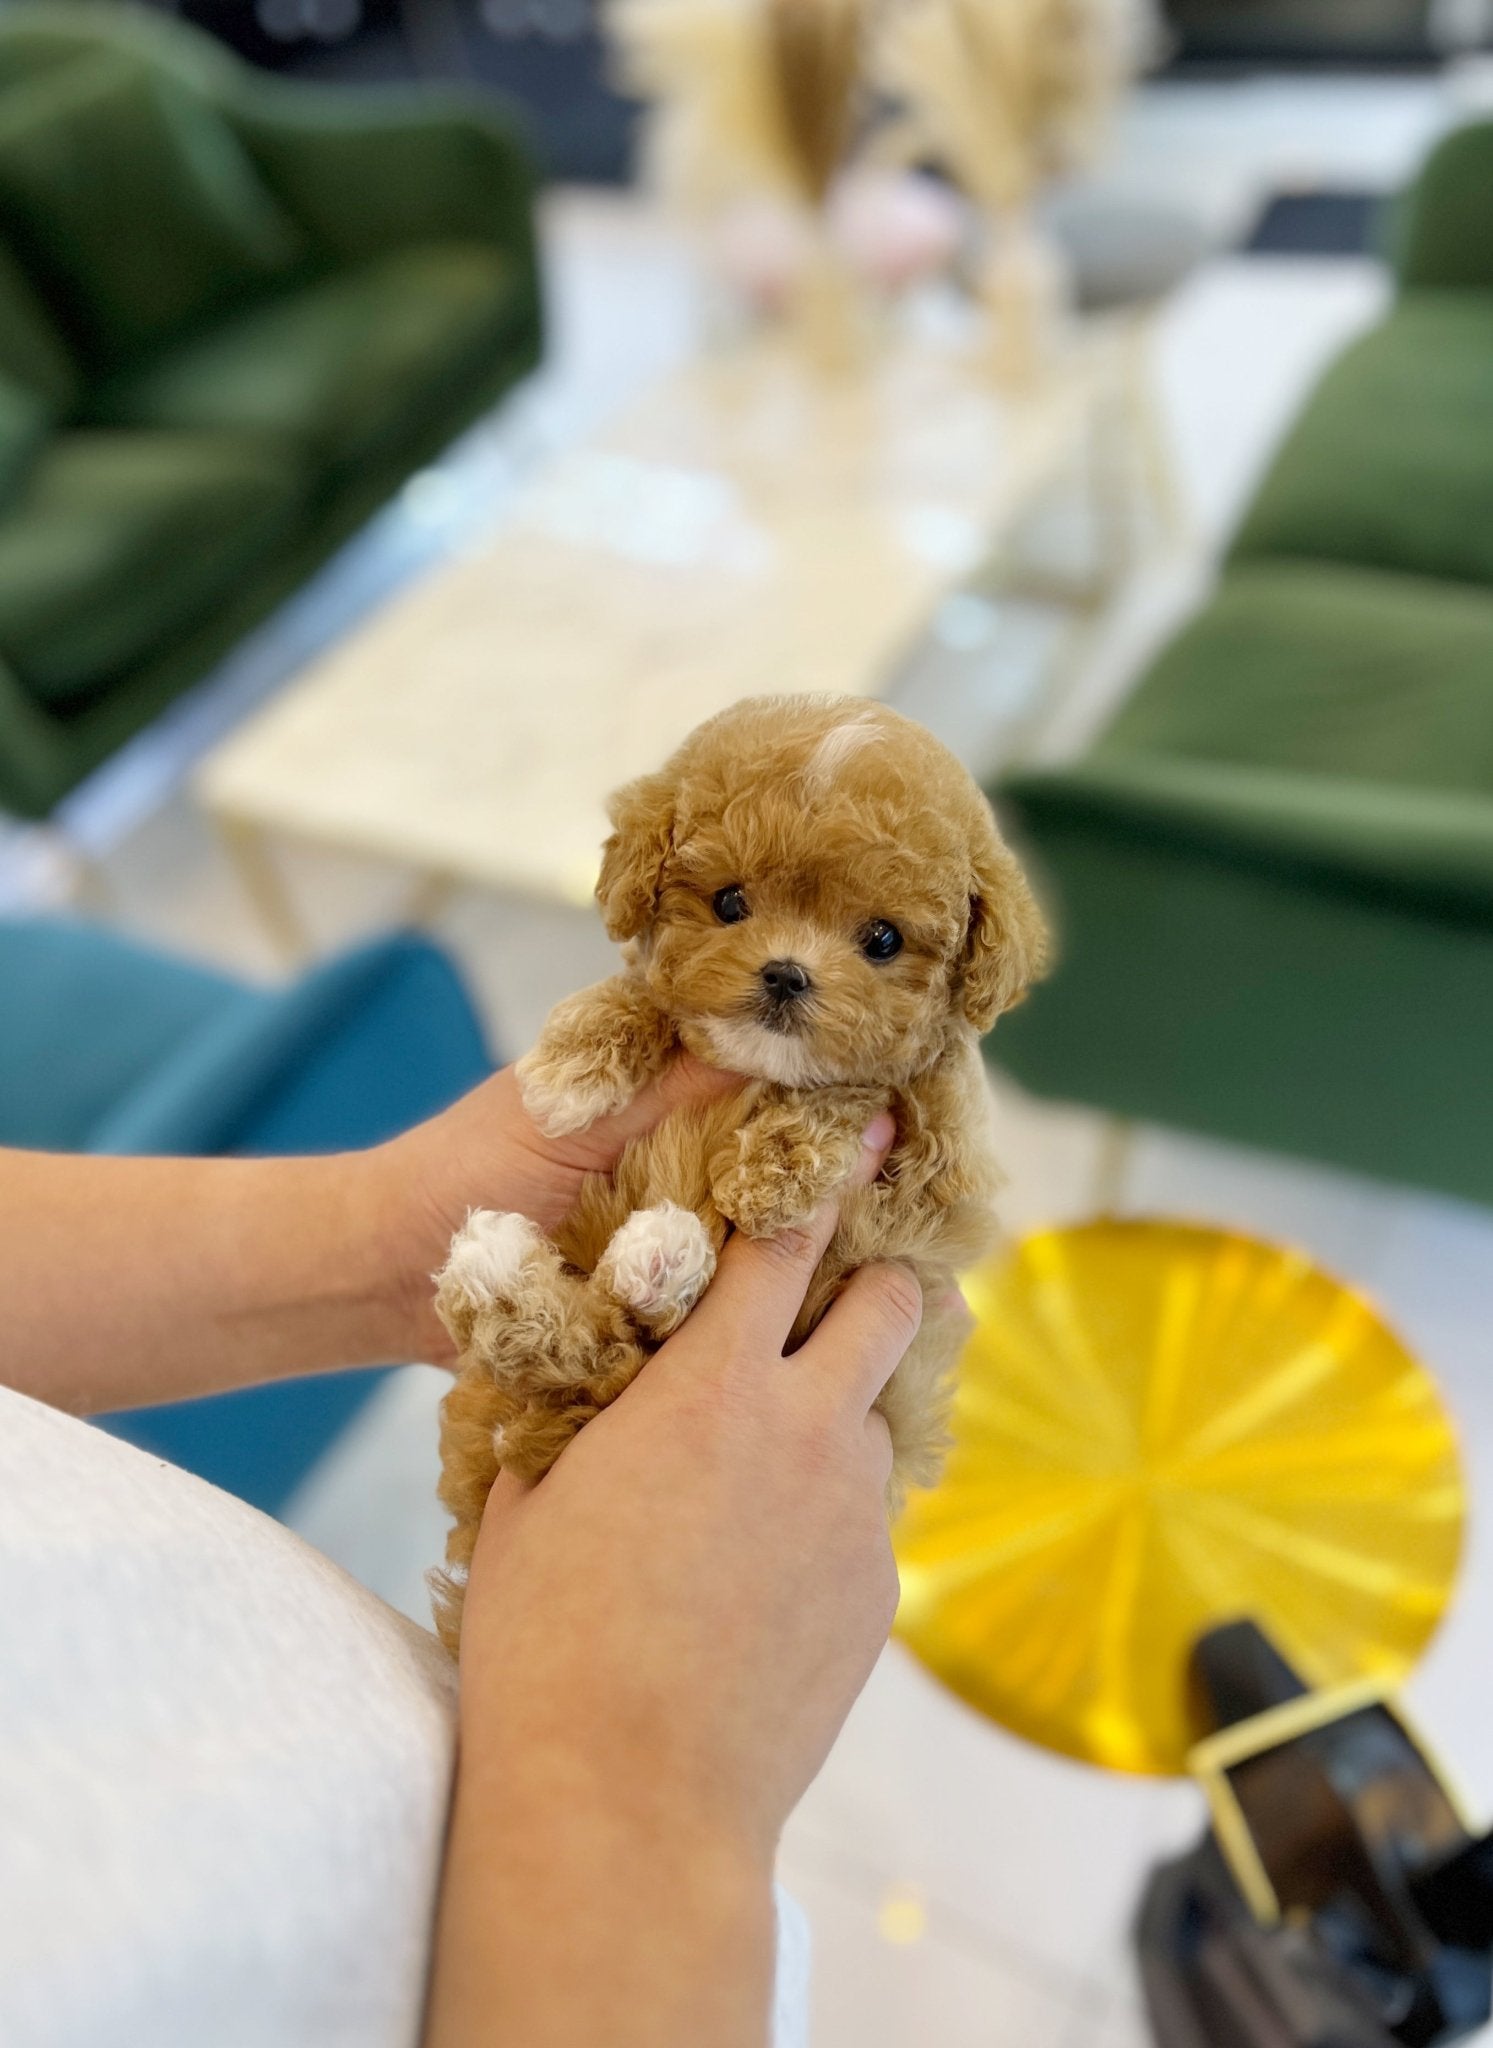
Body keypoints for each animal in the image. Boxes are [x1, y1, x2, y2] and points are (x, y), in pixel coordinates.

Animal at [425, 696, 1044, 1654]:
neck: (760, 1070)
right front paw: (572, 1067)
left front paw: (771, 1175)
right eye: (728, 904)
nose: (786, 975)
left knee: (603, 1349)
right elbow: (644, 989)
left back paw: (638, 1258)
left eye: (882, 940)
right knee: (581, 1351)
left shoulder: (941, 1165)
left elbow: (860, 1091)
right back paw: (548, 1263)